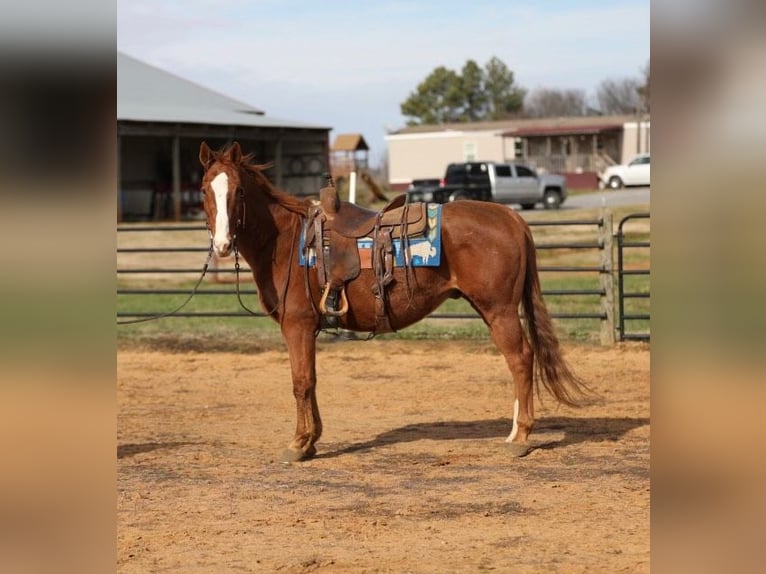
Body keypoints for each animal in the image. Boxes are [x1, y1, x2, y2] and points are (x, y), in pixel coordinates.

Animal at [198, 141, 592, 462]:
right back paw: (513, 432)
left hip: (501, 311)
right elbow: (312, 380)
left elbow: (301, 381)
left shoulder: (298, 324)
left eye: (238, 191)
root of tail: (510, 215)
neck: (286, 241)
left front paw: (298, 443)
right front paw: (312, 439)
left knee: (521, 360)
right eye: (205, 189)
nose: (223, 244)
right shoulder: (308, 329)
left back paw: (520, 437)